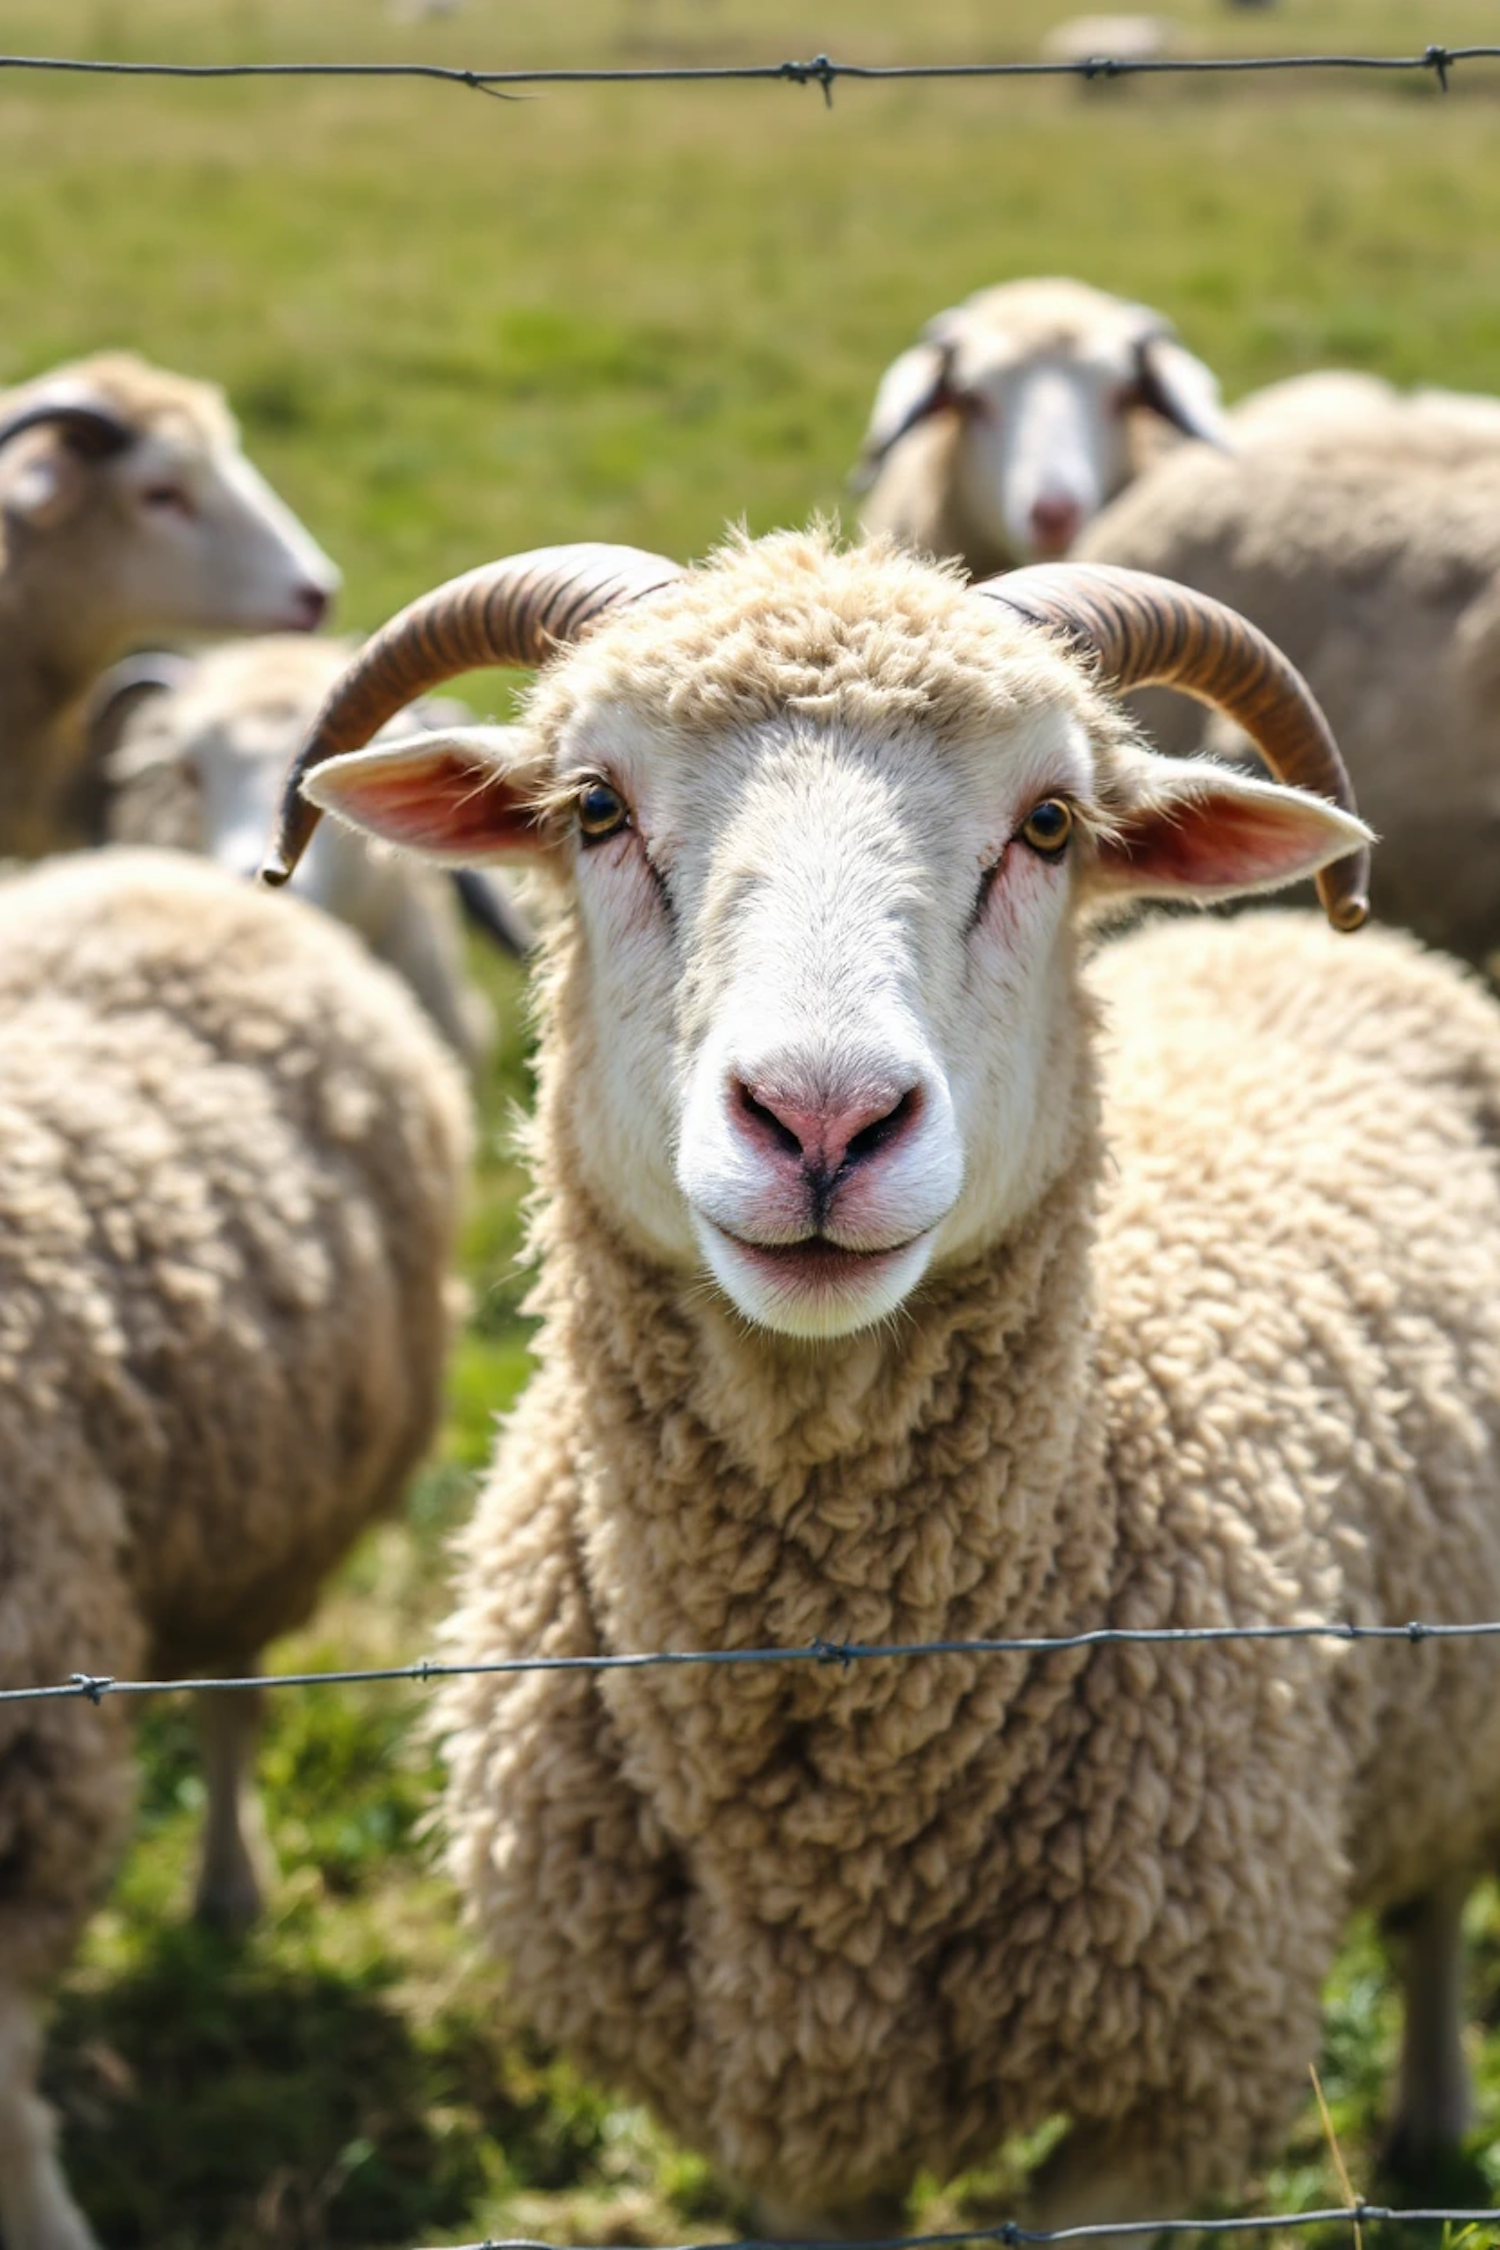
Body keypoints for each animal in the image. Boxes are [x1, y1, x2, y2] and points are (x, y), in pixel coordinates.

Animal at [0, 846, 470, 2250]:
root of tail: (169, 874)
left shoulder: (30, 1767)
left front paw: (46, 2220)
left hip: (258, 1531)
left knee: (230, 1700)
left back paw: (227, 1890)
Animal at [269, 531, 1500, 2232]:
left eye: (1048, 825)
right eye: (595, 808)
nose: (822, 1119)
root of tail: (1271, 938)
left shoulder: (1158, 2108)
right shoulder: (785, 2119)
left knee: (1437, 1901)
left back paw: (1435, 2121)